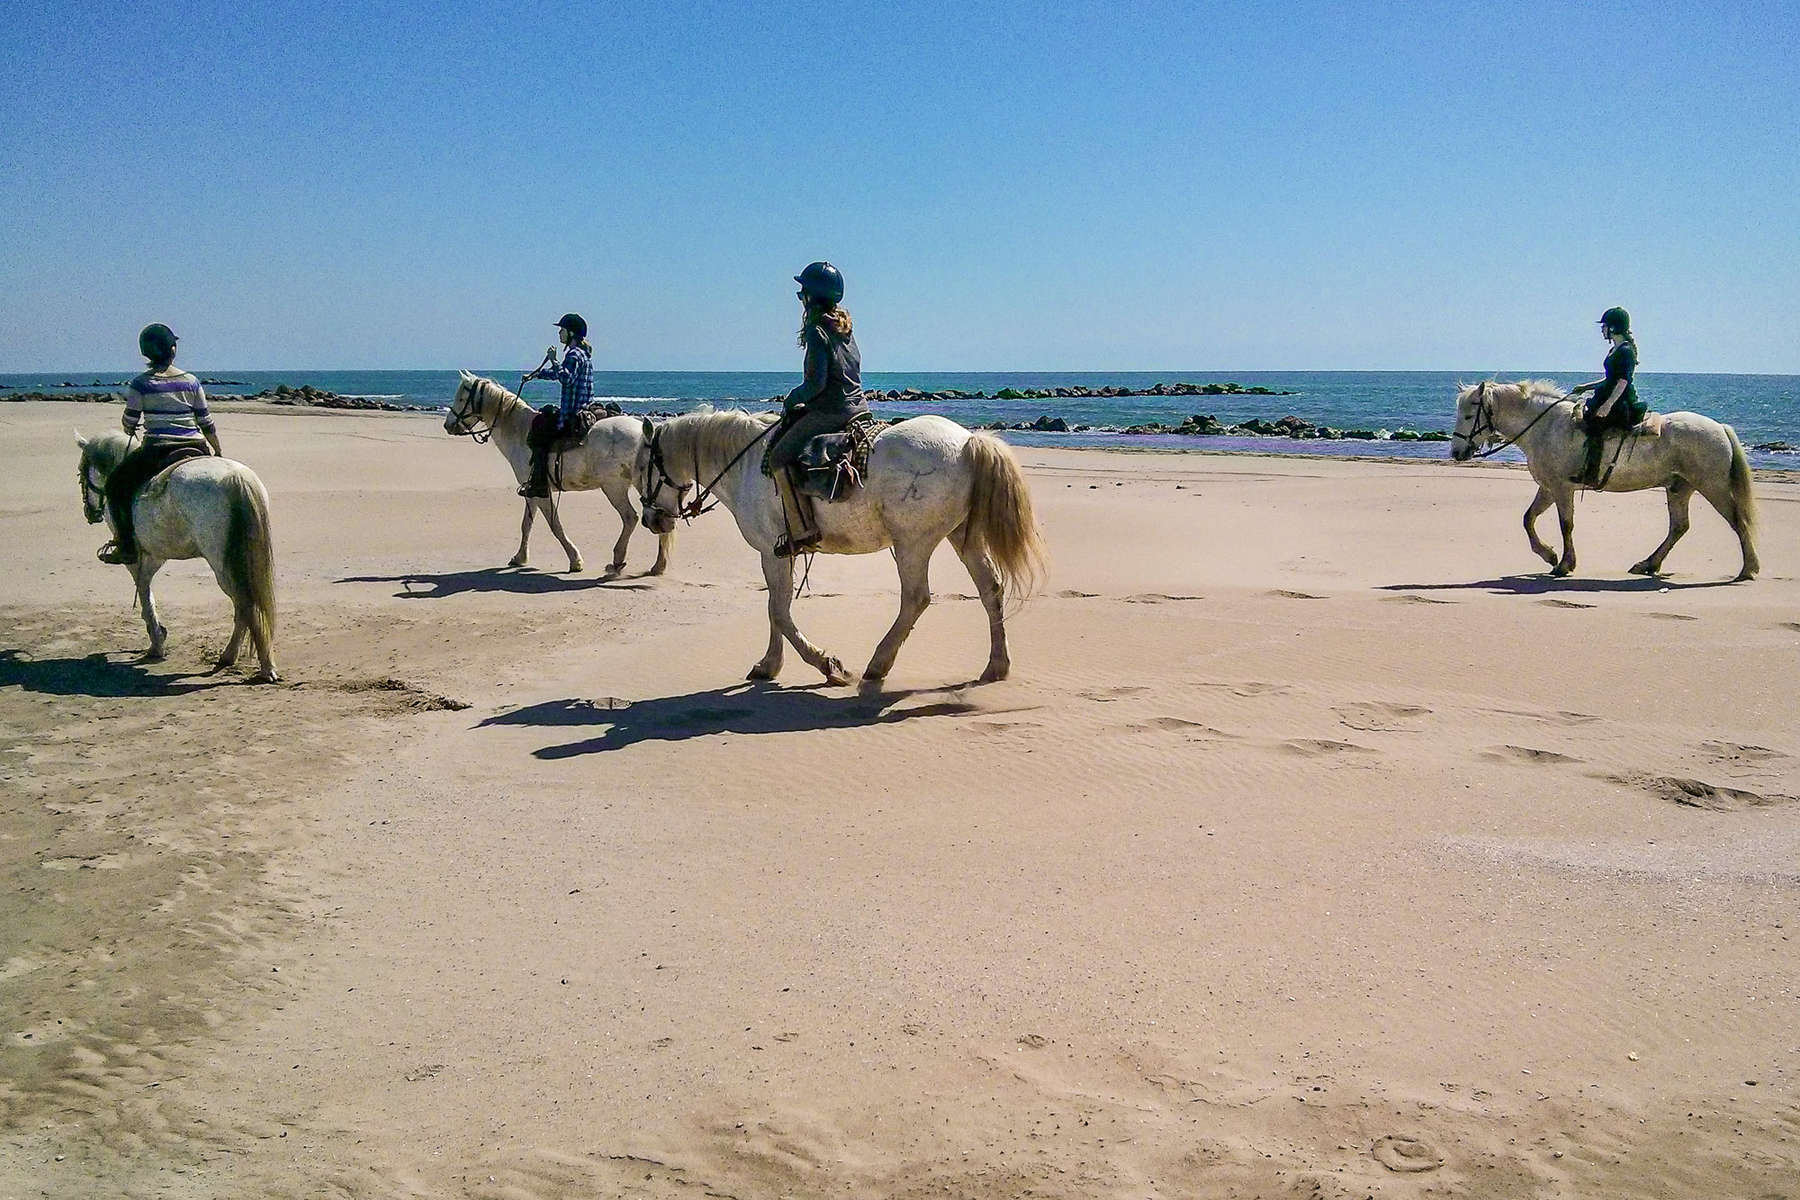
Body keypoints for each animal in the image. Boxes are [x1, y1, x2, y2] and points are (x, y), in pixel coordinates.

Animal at [75, 431, 277, 680]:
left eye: (81, 473)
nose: (90, 513)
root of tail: (235, 478)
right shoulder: (154, 556)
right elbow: (146, 589)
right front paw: (158, 635)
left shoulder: (138, 557)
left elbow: (143, 590)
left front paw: (156, 642)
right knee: (244, 606)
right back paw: (235, 657)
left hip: (223, 564)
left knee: (245, 603)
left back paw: (258, 664)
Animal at [444, 376, 676, 582]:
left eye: (461, 397)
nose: (448, 425)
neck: (520, 432)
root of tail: (646, 434)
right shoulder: (531, 491)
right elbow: (526, 524)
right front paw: (520, 557)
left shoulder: (541, 493)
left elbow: (554, 525)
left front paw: (575, 561)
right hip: (646, 483)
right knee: (660, 518)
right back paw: (658, 566)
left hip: (614, 487)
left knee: (630, 518)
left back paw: (618, 561)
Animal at [637, 410, 1051, 683]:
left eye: (643, 466)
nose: (651, 521)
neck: (746, 465)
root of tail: (967, 442)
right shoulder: (778, 555)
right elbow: (775, 608)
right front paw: (769, 665)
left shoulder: (770, 552)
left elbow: (779, 611)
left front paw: (826, 664)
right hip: (962, 535)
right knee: (990, 588)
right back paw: (996, 666)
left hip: (912, 543)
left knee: (916, 598)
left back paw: (878, 664)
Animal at [1447, 377, 1756, 579]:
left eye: (1468, 415)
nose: (1456, 452)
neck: (1545, 427)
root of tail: (1720, 427)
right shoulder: (1548, 488)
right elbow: (1528, 519)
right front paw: (1549, 554)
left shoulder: (1561, 489)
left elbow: (1566, 525)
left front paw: (1564, 564)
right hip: (1679, 488)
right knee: (1679, 527)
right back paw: (1648, 564)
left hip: (1712, 486)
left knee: (1737, 521)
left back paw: (1748, 569)